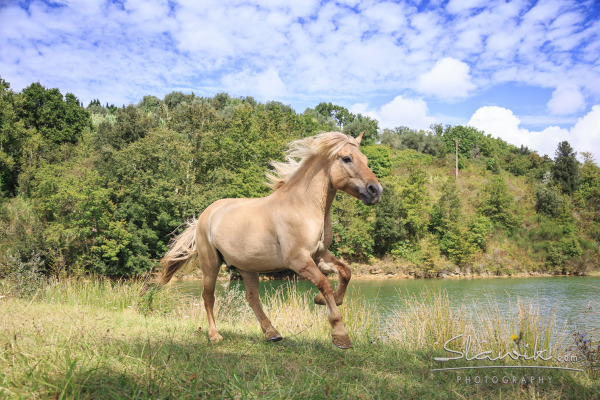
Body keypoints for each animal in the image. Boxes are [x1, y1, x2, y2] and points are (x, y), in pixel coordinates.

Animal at [159, 130, 382, 346]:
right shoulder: (298, 260)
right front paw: (340, 335)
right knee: (208, 297)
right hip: (210, 264)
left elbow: (346, 272)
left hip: (247, 267)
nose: (376, 191)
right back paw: (215, 336)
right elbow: (325, 283)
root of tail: (204, 216)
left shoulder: (319, 255)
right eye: (347, 158)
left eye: (365, 159)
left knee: (251, 298)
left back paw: (272, 333)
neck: (303, 206)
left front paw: (323, 300)